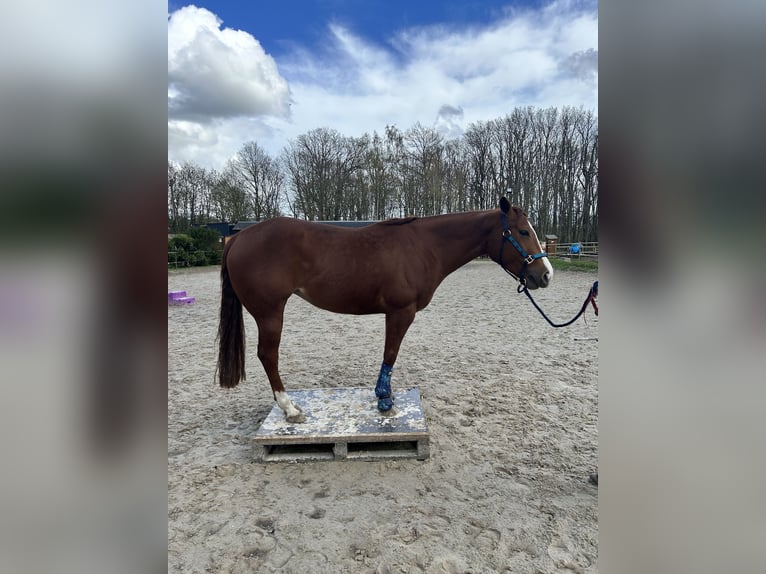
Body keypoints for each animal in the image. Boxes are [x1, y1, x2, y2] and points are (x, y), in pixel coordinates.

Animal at [216, 198, 552, 424]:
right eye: (523, 232)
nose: (546, 274)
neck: (425, 246)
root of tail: (238, 237)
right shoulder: (401, 311)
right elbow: (390, 353)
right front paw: (384, 400)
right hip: (270, 313)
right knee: (268, 355)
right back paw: (289, 408)